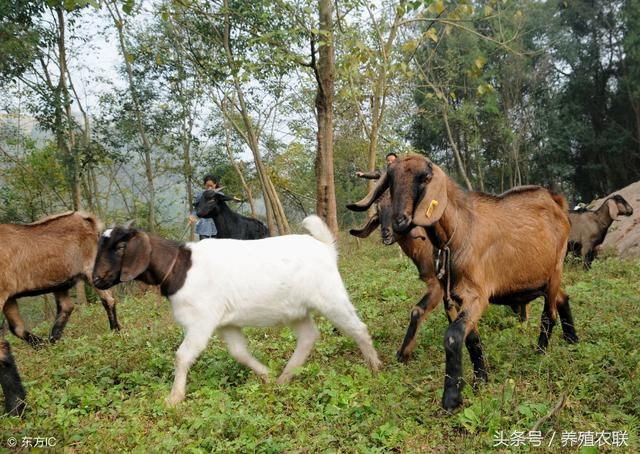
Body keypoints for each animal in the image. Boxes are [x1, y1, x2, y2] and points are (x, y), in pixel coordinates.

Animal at [348, 155, 576, 412]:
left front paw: (451, 398)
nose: (397, 224)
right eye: (391, 181)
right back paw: (572, 340)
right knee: (563, 298)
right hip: (542, 277)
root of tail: (556, 200)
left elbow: (452, 335)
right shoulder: (451, 297)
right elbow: (470, 338)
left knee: (549, 314)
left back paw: (540, 353)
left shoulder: (475, 294)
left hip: (556, 269)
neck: (458, 232)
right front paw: (481, 380)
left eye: (425, 178)